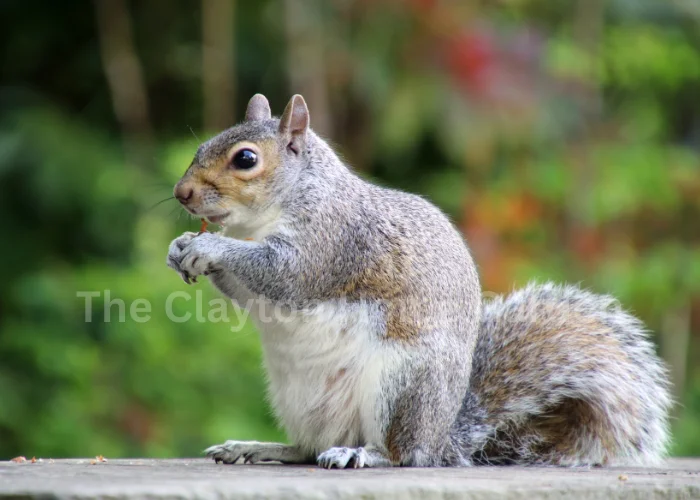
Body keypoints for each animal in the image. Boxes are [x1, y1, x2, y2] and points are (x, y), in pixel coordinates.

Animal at [167, 93, 672, 468]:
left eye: (246, 159)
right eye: (202, 146)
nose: (181, 192)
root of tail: (441, 439)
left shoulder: (333, 242)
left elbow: (284, 276)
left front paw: (211, 249)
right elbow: (249, 292)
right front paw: (181, 247)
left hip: (402, 385)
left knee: (398, 453)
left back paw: (360, 454)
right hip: (298, 399)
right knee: (308, 449)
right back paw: (259, 448)